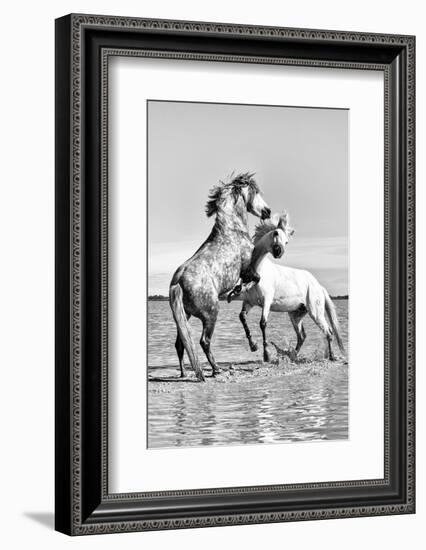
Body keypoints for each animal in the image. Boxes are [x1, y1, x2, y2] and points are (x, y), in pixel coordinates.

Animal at [169, 175, 272, 382]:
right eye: (256, 192)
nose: (267, 211)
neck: (231, 229)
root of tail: (178, 282)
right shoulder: (247, 269)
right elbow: (255, 279)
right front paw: (236, 291)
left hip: (185, 316)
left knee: (180, 344)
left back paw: (184, 373)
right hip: (211, 315)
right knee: (204, 341)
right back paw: (216, 370)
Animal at [228, 213, 344, 364]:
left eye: (287, 241)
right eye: (276, 233)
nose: (279, 252)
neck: (258, 272)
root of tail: (319, 287)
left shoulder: (266, 301)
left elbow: (262, 323)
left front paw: (266, 355)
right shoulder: (249, 302)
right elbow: (242, 317)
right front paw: (253, 346)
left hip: (315, 313)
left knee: (328, 331)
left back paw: (331, 356)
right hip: (295, 315)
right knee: (302, 336)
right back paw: (293, 356)